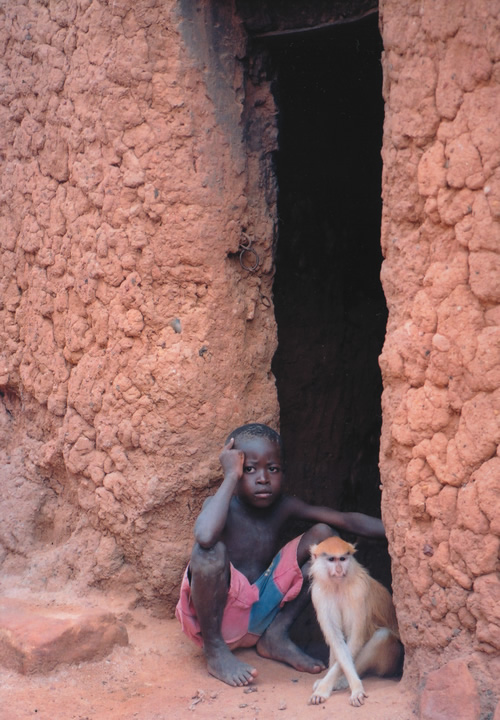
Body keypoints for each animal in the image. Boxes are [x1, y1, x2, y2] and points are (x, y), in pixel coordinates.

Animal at [308, 536, 402, 704]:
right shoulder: (319, 594)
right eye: (331, 559)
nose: (339, 570)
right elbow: (337, 640)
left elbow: (355, 639)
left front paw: (352, 688)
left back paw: (342, 681)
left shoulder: (358, 592)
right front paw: (325, 685)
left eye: (343, 559)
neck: (338, 585)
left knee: (382, 636)